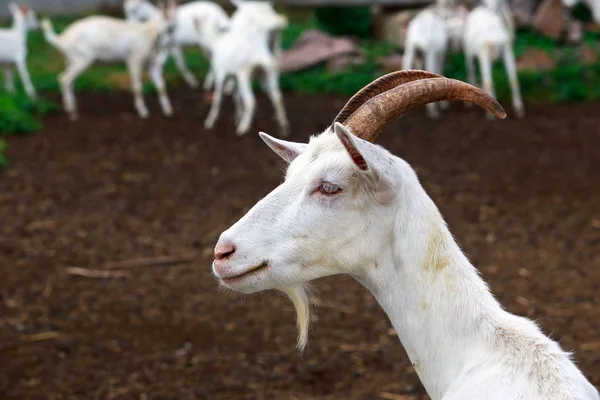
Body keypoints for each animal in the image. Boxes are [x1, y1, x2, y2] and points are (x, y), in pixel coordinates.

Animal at [42, 1, 177, 120]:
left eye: (174, 19)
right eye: (165, 17)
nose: (172, 32)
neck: (148, 33)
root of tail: (61, 39)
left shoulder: (151, 64)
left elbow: (161, 86)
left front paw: (168, 111)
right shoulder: (134, 59)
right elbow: (137, 86)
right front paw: (143, 112)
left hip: (70, 60)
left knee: (69, 80)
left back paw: (70, 106)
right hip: (81, 59)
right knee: (64, 79)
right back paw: (72, 113)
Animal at [204, 0, 290, 137]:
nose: (274, 26)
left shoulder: (222, 73)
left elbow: (218, 97)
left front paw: (210, 122)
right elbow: (236, 94)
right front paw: (237, 115)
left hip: (245, 74)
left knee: (251, 101)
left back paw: (242, 128)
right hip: (270, 69)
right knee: (278, 98)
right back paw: (283, 128)